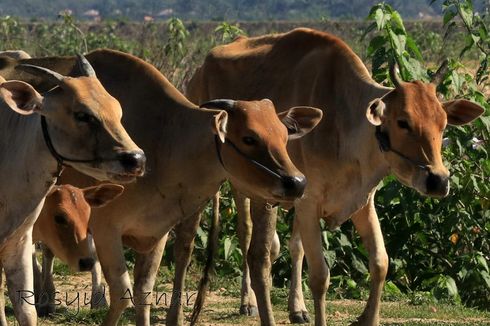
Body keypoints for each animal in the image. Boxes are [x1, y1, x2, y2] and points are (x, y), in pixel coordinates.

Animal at [186, 26, 484, 324]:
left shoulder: (361, 201)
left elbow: (380, 262)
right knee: (247, 233)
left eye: (443, 124)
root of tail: (197, 71)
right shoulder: (308, 202)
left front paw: (366, 318)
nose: (438, 180)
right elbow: (320, 276)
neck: (344, 118)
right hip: (242, 187)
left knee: (288, 247)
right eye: (403, 122)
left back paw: (297, 307)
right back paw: (247, 301)